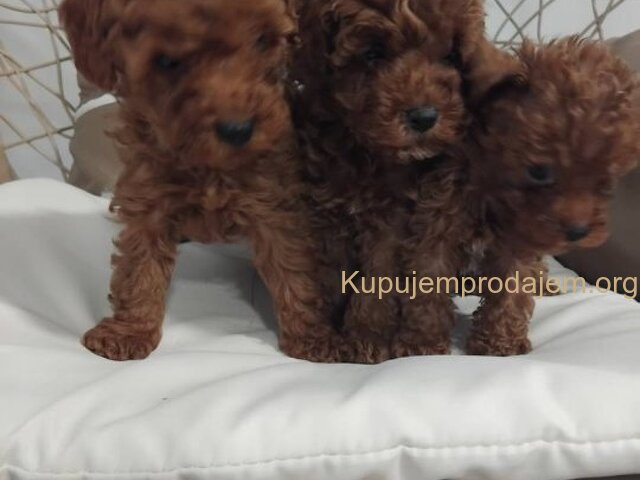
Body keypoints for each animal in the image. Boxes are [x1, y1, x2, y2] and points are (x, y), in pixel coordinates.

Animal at [59, 0, 344, 362]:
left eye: (263, 41)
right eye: (166, 61)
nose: (238, 130)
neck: (208, 165)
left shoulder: (274, 201)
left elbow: (293, 269)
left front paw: (313, 338)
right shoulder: (147, 196)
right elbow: (138, 267)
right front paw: (129, 331)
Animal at [290, 0, 488, 363]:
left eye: (451, 56)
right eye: (373, 54)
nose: (424, 117)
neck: (363, 149)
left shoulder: (390, 222)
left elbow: (378, 279)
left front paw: (367, 337)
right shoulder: (321, 213)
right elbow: (325, 279)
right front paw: (326, 334)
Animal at [397, 37, 640, 357]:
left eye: (606, 180)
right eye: (537, 171)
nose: (577, 232)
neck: (490, 188)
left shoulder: (520, 242)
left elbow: (513, 289)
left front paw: (500, 344)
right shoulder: (437, 225)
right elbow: (428, 285)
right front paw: (422, 344)